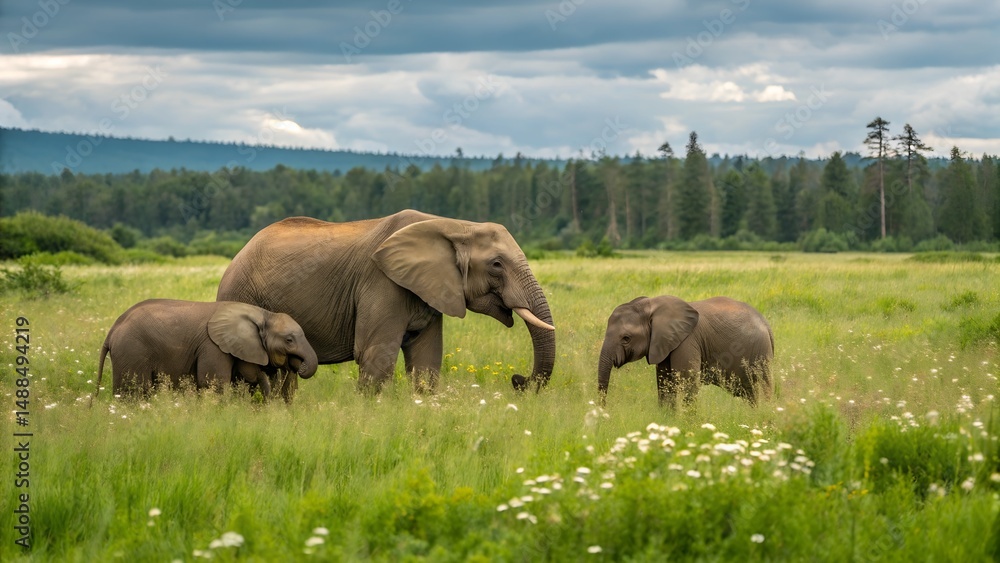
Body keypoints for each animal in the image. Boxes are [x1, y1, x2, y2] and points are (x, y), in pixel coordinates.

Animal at [95, 299, 318, 400]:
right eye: (289, 340)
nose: (299, 365)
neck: (263, 314)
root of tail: (112, 331)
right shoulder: (213, 347)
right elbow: (214, 383)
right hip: (132, 351)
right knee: (135, 391)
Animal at [216, 209, 555, 398]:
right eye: (497, 265)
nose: (518, 380)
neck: (455, 225)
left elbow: (426, 361)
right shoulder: (382, 282)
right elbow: (374, 357)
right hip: (240, 294)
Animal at [598, 295, 773, 407]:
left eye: (626, 338)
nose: (604, 411)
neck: (651, 306)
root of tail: (766, 324)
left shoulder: (687, 341)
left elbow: (688, 382)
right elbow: (664, 383)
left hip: (760, 353)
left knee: (763, 388)